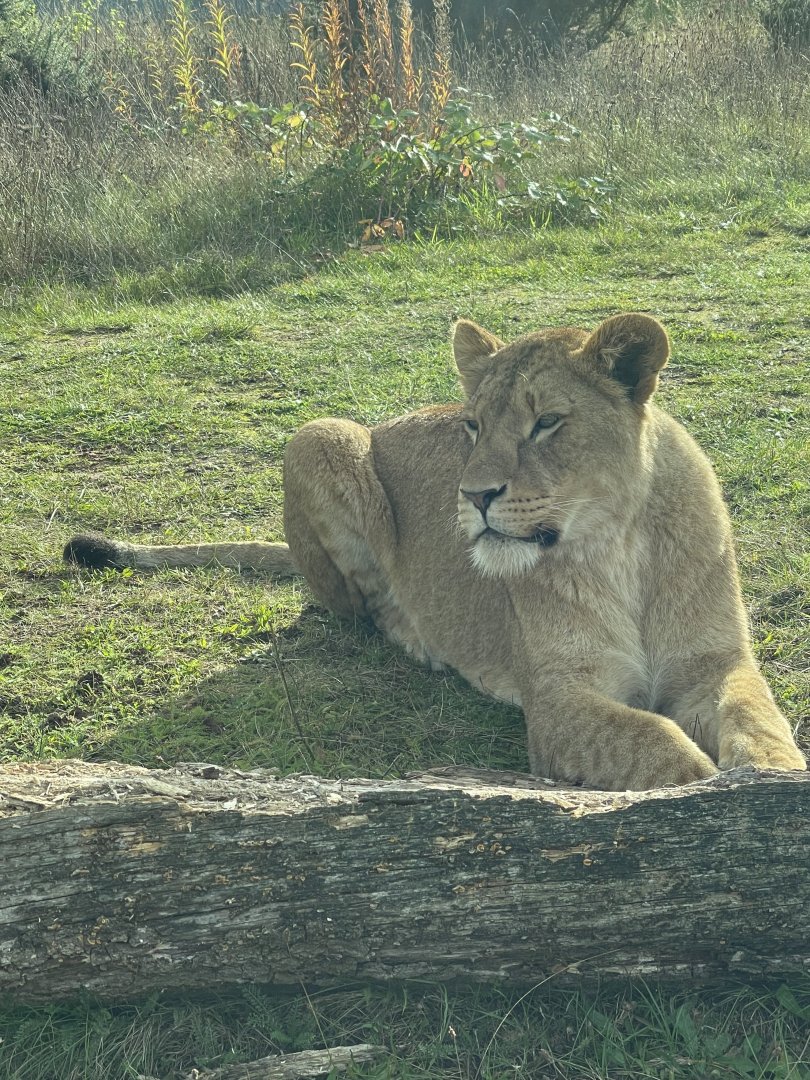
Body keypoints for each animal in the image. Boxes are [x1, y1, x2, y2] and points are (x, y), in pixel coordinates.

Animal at [65, 313, 806, 790]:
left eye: (546, 423)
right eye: (472, 426)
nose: (473, 495)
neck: (616, 541)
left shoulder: (715, 664)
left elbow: (759, 718)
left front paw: (773, 778)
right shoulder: (557, 701)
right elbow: (653, 739)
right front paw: (703, 791)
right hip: (321, 435)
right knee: (358, 609)